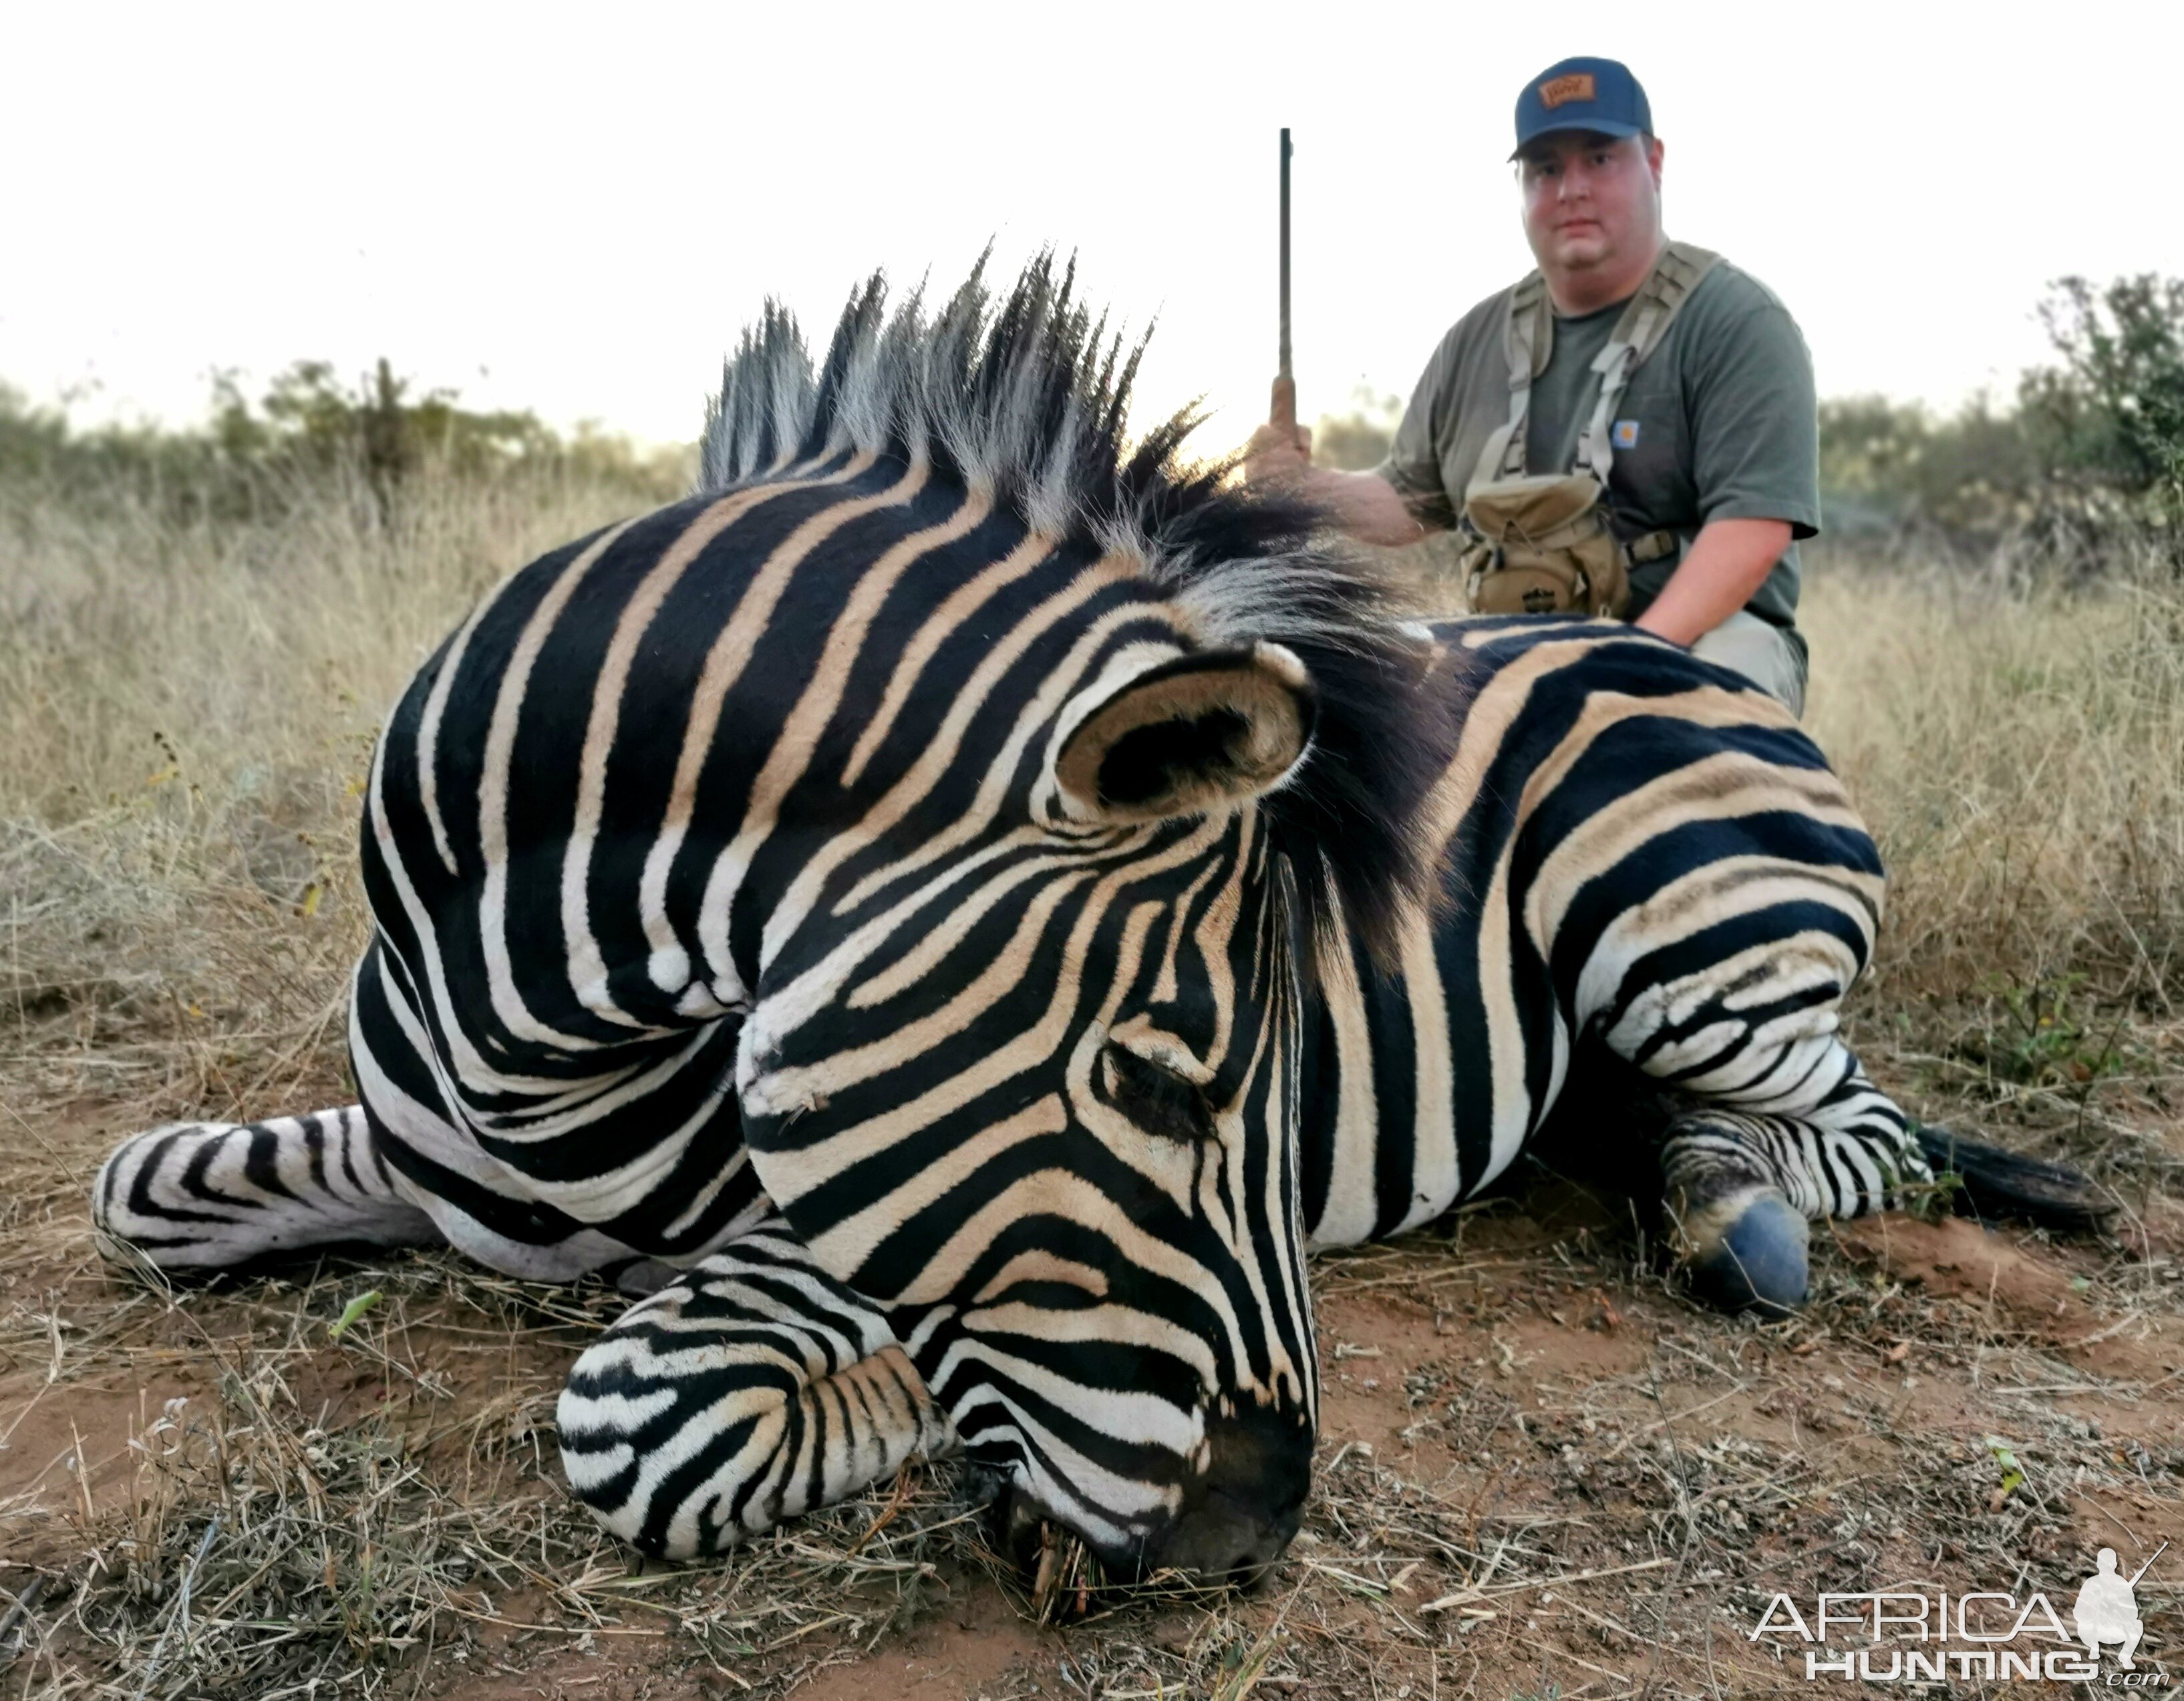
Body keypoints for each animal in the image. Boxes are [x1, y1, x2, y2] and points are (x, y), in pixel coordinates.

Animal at [90, 259, 2096, 1589]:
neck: (528, 1046)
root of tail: (1665, 651)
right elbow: (142, 1187)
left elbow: (653, 1414)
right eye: (1164, 1079)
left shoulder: (816, 1222)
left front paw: (909, 1403)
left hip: (1692, 945)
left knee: (1864, 1126)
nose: (1256, 1530)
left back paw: (1722, 1199)